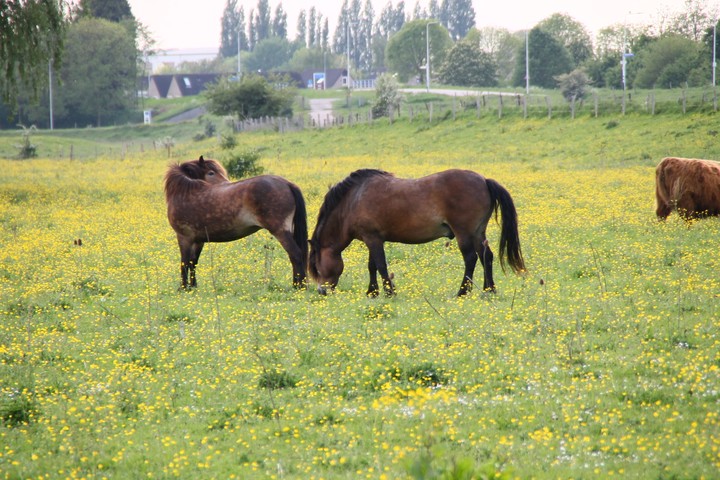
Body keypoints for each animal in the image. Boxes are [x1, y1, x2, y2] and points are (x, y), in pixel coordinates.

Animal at [164, 156, 308, 290]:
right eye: (211, 173)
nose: (227, 183)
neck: (185, 193)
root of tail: (287, 184)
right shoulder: (198, 240)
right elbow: (193, 262)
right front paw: (193, 286)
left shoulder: (184, 237)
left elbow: (184, 263)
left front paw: (183, 288)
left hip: (280, 231)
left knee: (295, 254)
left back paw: (298, 286)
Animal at [309, 168, 526, 297]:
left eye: (317, 267)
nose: (321, 291)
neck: (353, 200)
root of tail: (484, 180)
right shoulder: (373, 239)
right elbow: (372, 266)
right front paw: (372, 292)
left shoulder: (373, 239)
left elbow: (381, 265)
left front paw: (389, 292)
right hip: (478, 232)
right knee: (486, 256)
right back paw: (489, 290)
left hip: (464, 233)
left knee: (471, 258)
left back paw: (462, 292)